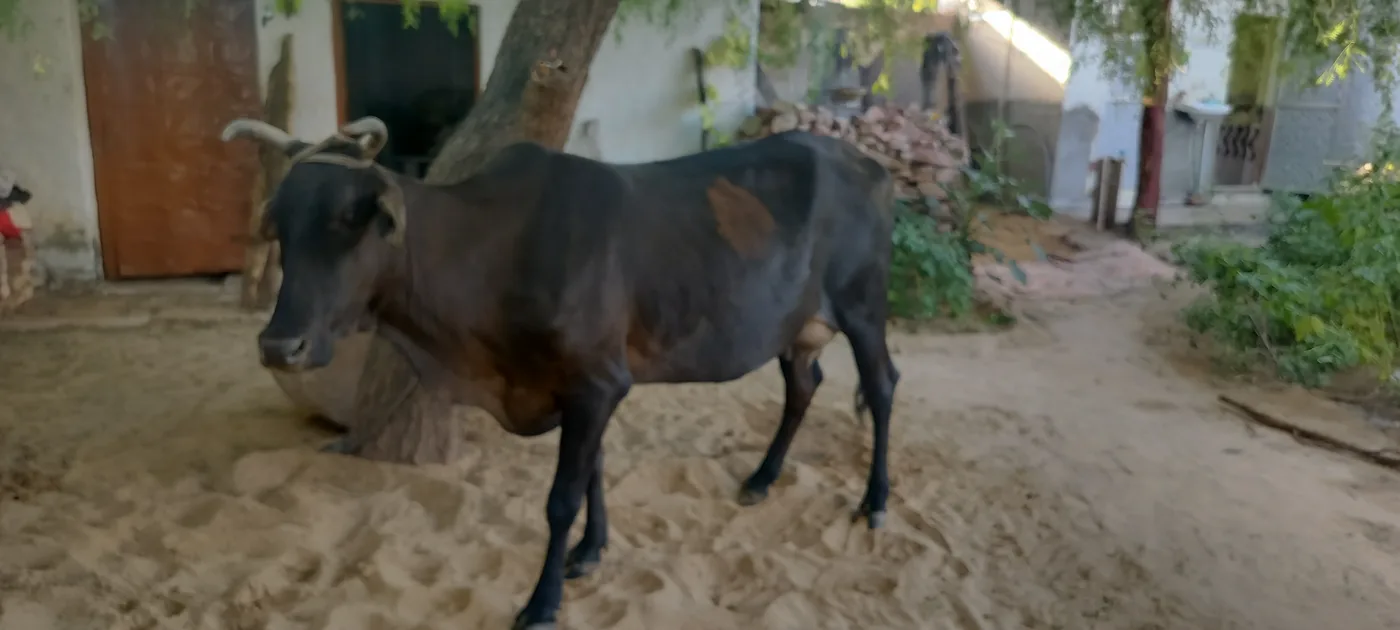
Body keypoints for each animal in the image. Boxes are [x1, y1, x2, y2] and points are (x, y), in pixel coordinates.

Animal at [221, 116, 900, 630]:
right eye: (282, 226)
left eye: (349, 219)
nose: (281, 346)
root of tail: (866, 163)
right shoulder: (585, 387)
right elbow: (594, 472)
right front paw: (590, 551)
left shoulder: (597, 383)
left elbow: (561, 498)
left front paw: (543, 602)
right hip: (797, 326)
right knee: (804, 386)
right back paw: (761, 478)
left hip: (864, 305)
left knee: (883, 385)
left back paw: (874, 502)